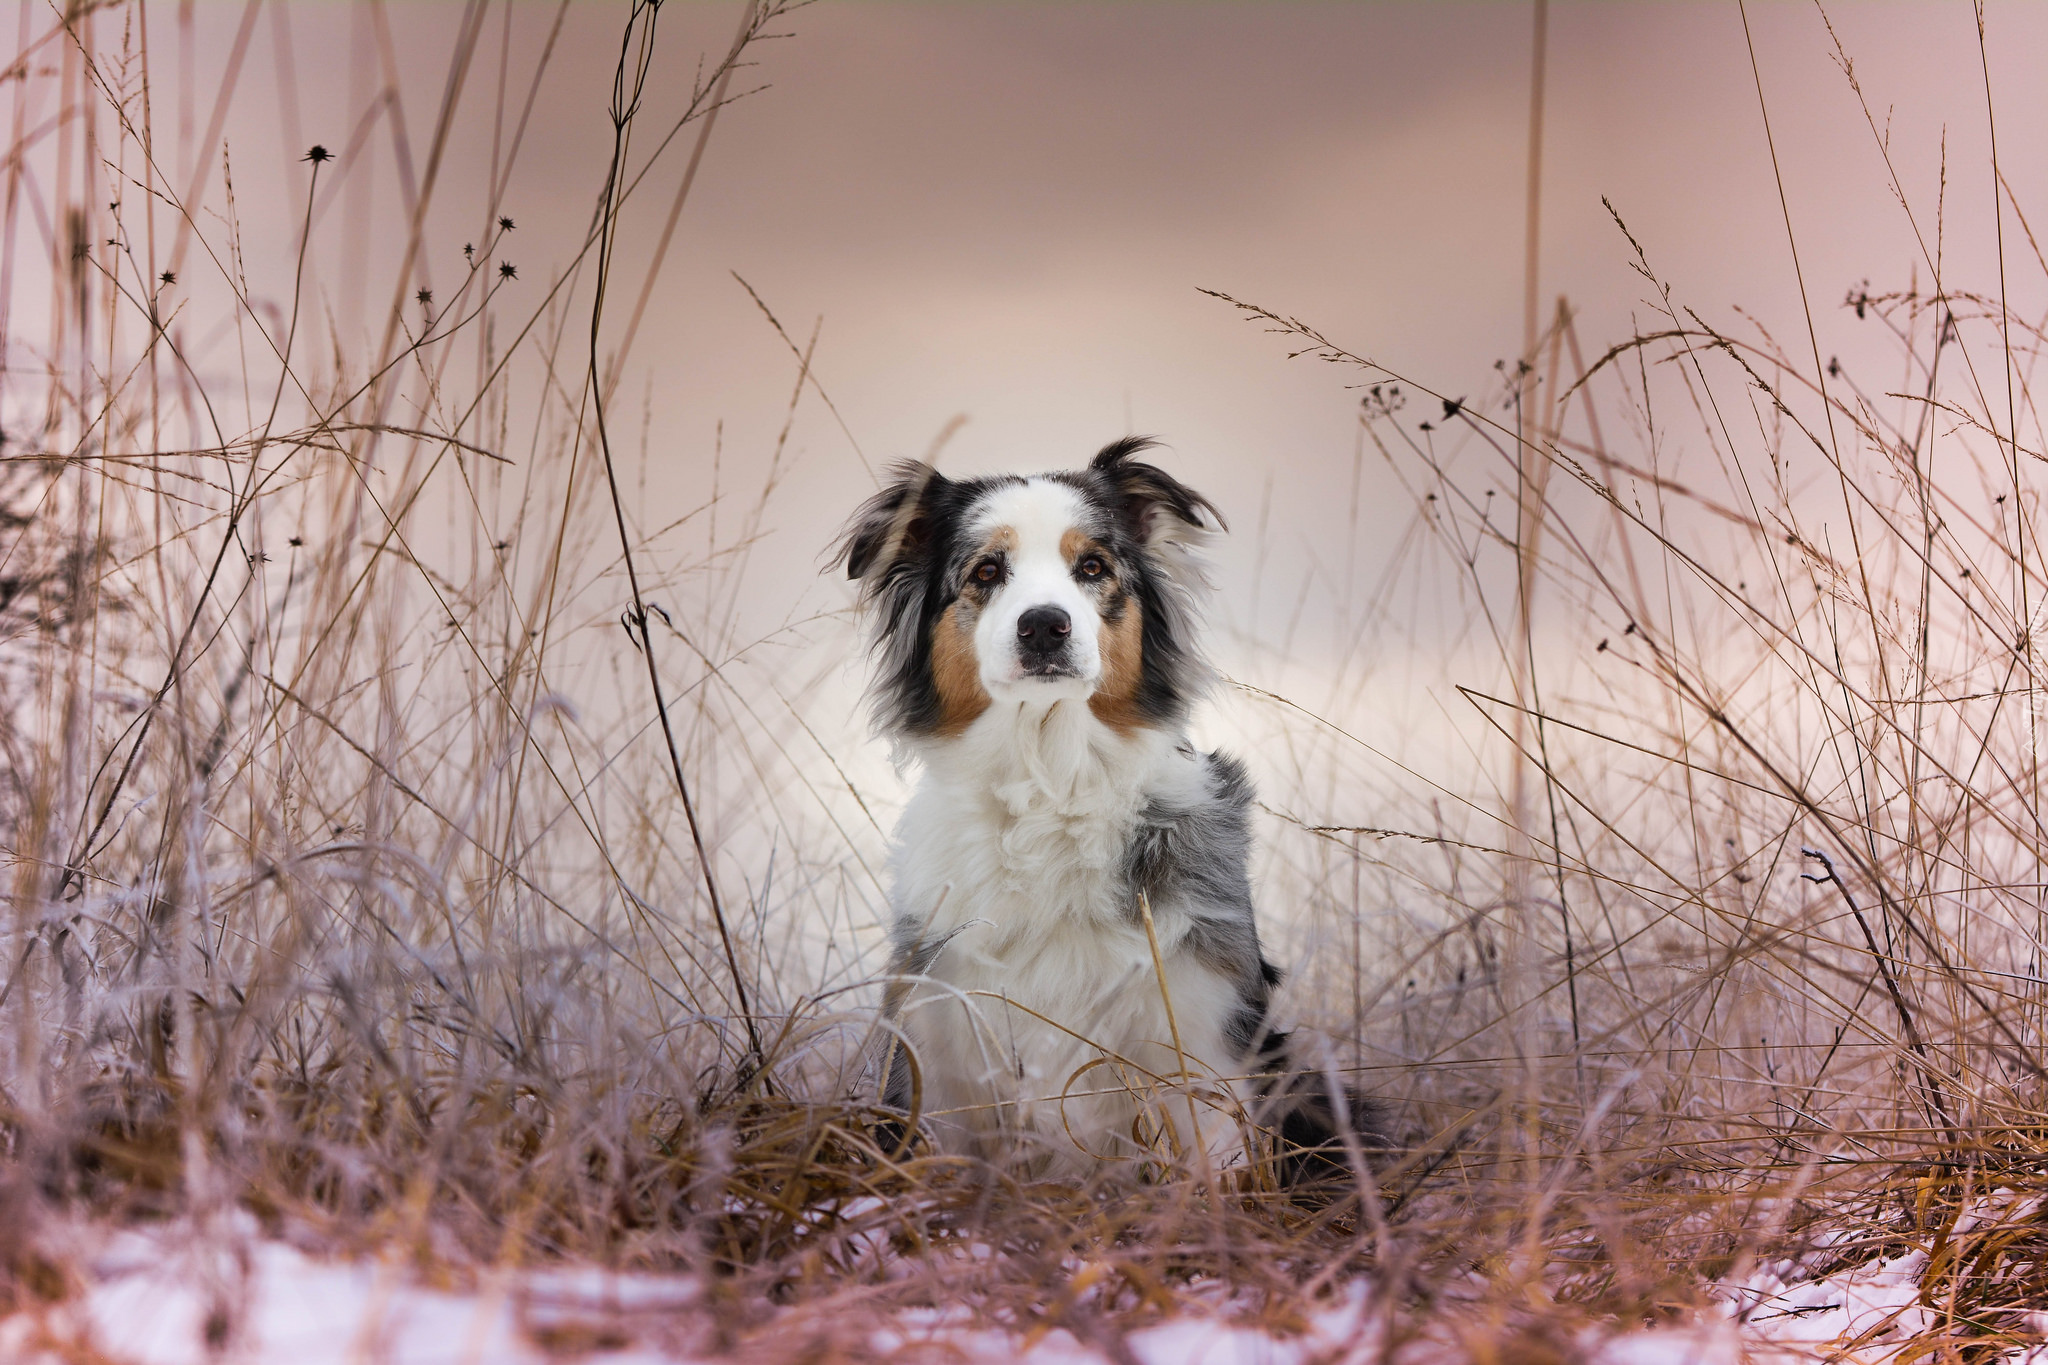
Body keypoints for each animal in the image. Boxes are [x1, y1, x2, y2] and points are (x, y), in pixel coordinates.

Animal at [831, 437, 1376, 1186]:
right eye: (987, 571)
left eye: (1091, 566)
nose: (1044, 625)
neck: (1051, 781)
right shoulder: (940, 1031)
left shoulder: (1202, 1025)